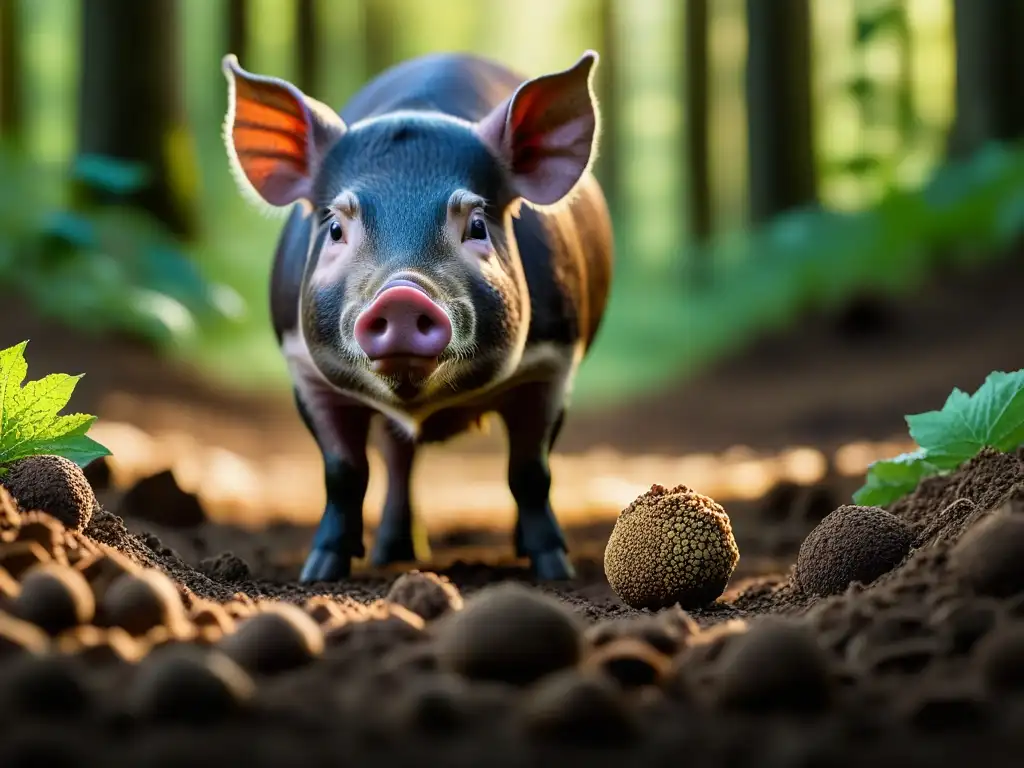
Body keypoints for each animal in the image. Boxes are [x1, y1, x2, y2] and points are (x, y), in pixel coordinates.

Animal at [220, 48, 610, 581]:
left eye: (477, 224)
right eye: (336, 227)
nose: (402, 295)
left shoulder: (553, 363)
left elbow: (530, 471)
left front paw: (555, 571)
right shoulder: (303, 368)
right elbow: (343, 473)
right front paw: (318, 572)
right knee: (399, 458)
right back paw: (395, 553)